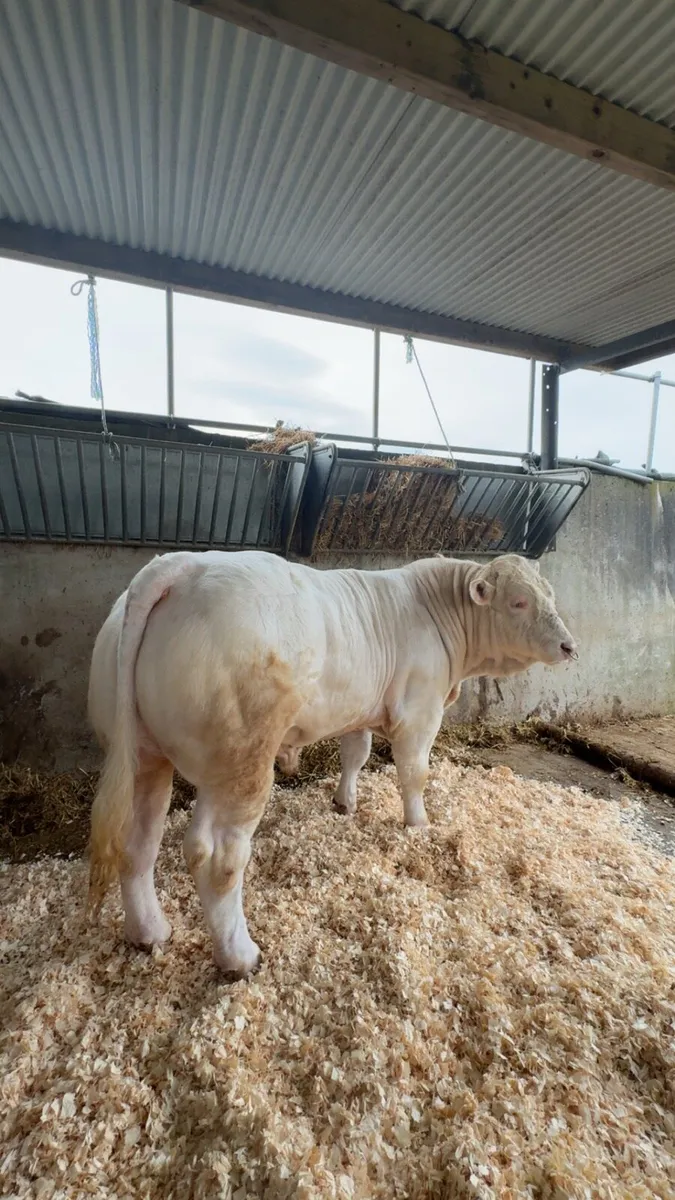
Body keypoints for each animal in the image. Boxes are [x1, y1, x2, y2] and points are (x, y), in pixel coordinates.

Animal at [87, 550, 577, 978]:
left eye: (551, 595)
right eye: (519, 601)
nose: (569, 645)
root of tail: (182, 565)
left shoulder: (357, 710)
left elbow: (355, 754)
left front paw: (345, 803)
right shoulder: (420, 712)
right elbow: (414, 774)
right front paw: (418, 825)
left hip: (148, 756)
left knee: (140, 844)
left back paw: (150, 932)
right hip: (245, 760)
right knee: (219, 858)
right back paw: (239, 956)